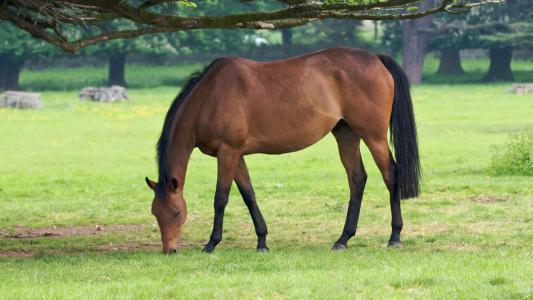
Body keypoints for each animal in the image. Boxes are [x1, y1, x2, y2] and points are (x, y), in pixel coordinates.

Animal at [145, 47, 420, 253]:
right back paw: (343, 239)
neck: (210, 97)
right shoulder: (237, 156)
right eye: (155, 213)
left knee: (390, 175)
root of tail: (376, 59)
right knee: (357, 179)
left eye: (176, 213)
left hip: (373, 136)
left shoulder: (228, 153)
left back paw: (394, 236)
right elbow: (248, 195)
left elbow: (221, 198)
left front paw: (212, 244)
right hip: (346, 133)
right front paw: (262, 242)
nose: (169, 250)